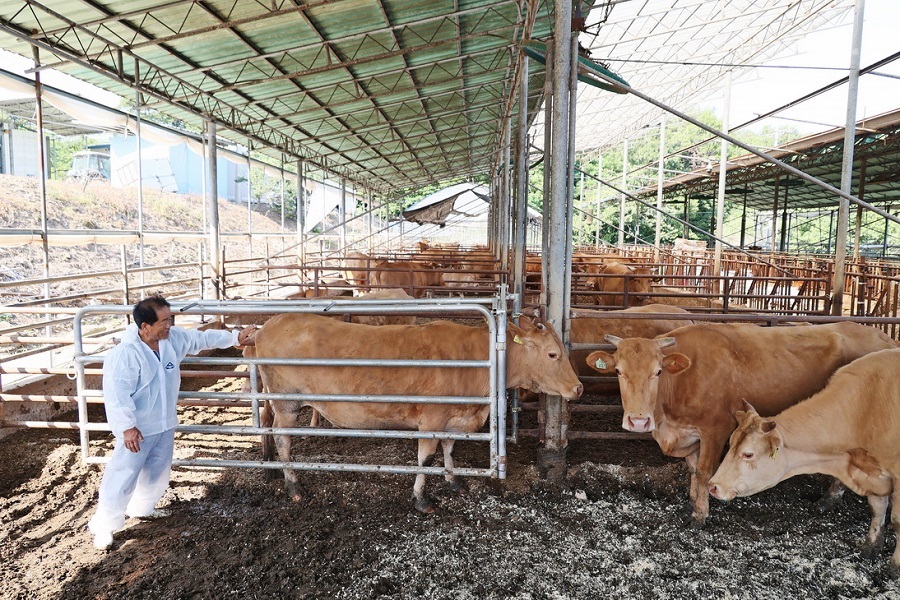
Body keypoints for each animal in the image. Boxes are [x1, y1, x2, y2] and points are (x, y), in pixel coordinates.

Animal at [253, 314, 584, 510]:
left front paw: (454, 482)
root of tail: (273, 321)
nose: (578, 388)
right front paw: (421, 498)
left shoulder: (454, 417)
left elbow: (450, 449)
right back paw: (293, 484)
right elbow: (425, 457)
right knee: (283, 439)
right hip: (287, 403)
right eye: (553, 354)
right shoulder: (432, 418)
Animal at [584, 324, 892, 524]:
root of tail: (881, 335)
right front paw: (692, 502)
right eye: (618, 371)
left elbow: (704, 471)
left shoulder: (715, 430)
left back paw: (830, 498)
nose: (638, 421)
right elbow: (693, 469)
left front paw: (700, 515)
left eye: (658, 371)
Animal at [712, 346, 900, 568]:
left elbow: (896, 520)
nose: (713, 486)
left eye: (748, 454)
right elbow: (877, 508)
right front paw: (871, 547)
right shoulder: (871, 472)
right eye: (731, 443)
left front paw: (895, 564)